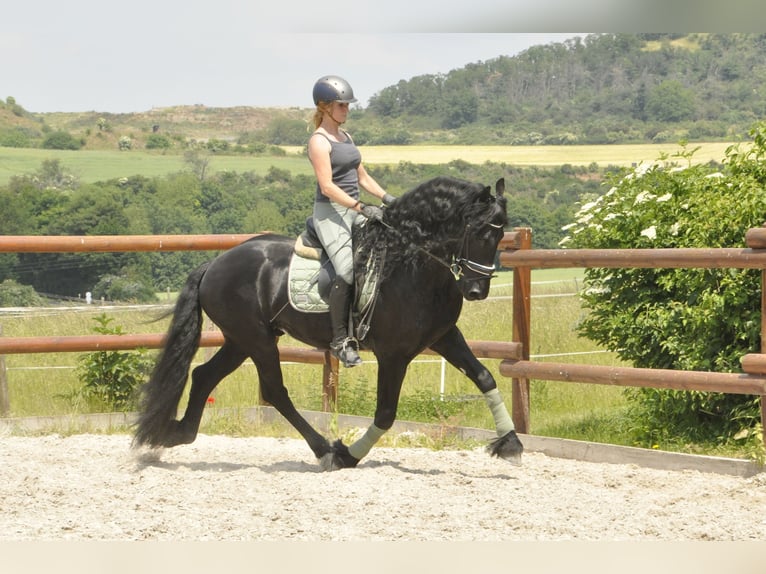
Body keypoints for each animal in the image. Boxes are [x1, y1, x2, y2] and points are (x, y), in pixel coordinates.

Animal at [133, 175, 524, 470]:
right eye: (478, 231)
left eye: (500, 233)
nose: (476, 290)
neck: (411, 265)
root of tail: (215, 263)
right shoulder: (394, 354)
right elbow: (385, 413)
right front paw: (350, 455)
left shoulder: (444, 337)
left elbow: (485, 377)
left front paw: (510, 443)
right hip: (257, 340)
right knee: (274, 391)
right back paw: (325, 450)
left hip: (240, 340)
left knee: (204, 376)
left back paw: (176, 433)